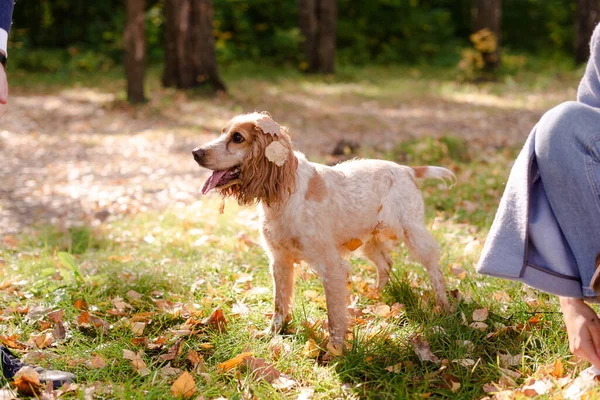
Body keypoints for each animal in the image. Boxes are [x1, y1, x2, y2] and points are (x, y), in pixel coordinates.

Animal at [195, 112, 452, 350]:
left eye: (237, 137)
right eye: (222, 132)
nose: (196, 152)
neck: (283, 194)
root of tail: (406, 169)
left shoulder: (331, 266)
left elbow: (334, 315)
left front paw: (335, 351)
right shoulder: (280, 261)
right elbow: (279, 304)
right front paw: (271, 333)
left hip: (415, 235)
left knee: (435, 271)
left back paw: (445, 308)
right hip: (369, 241)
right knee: (386, 264)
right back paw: (376, 297)